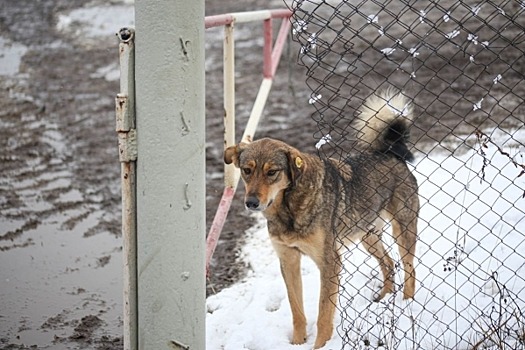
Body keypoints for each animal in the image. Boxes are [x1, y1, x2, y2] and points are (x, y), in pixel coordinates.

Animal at [223, 90, 420, 348]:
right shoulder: (288, 259)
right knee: (389, 264)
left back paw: (406, 305)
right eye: (246, 170)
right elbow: (297, 311)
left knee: (410, 270)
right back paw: (383, 299)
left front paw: (320, 346)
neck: (288, 210)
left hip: (403, 232)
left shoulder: (330, 262)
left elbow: (324, 315)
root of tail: (391, 153)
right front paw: (298, 343)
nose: (251, 203)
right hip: (368, 237)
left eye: (272, 172)